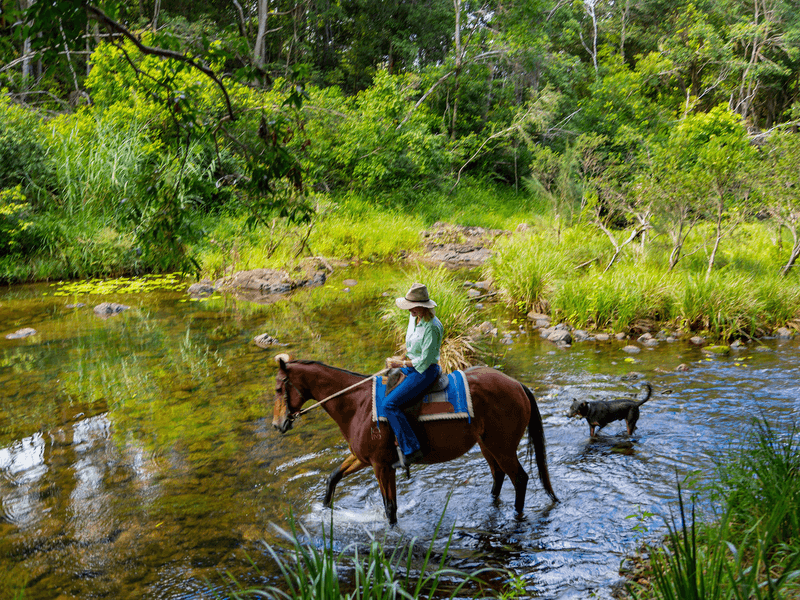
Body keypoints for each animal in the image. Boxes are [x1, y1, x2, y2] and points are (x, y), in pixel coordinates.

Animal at [270, 356, 556, 524]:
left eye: (278, 388)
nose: (277, 424)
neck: (358, 404)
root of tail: (517, 385)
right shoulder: (364, 458)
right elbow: (332, 478)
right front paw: (323, 512)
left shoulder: (381, 466)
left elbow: (390, 508)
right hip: (487, 445)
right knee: (498, 476)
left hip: (503, 447)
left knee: (519, 479)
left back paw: (517, 516)